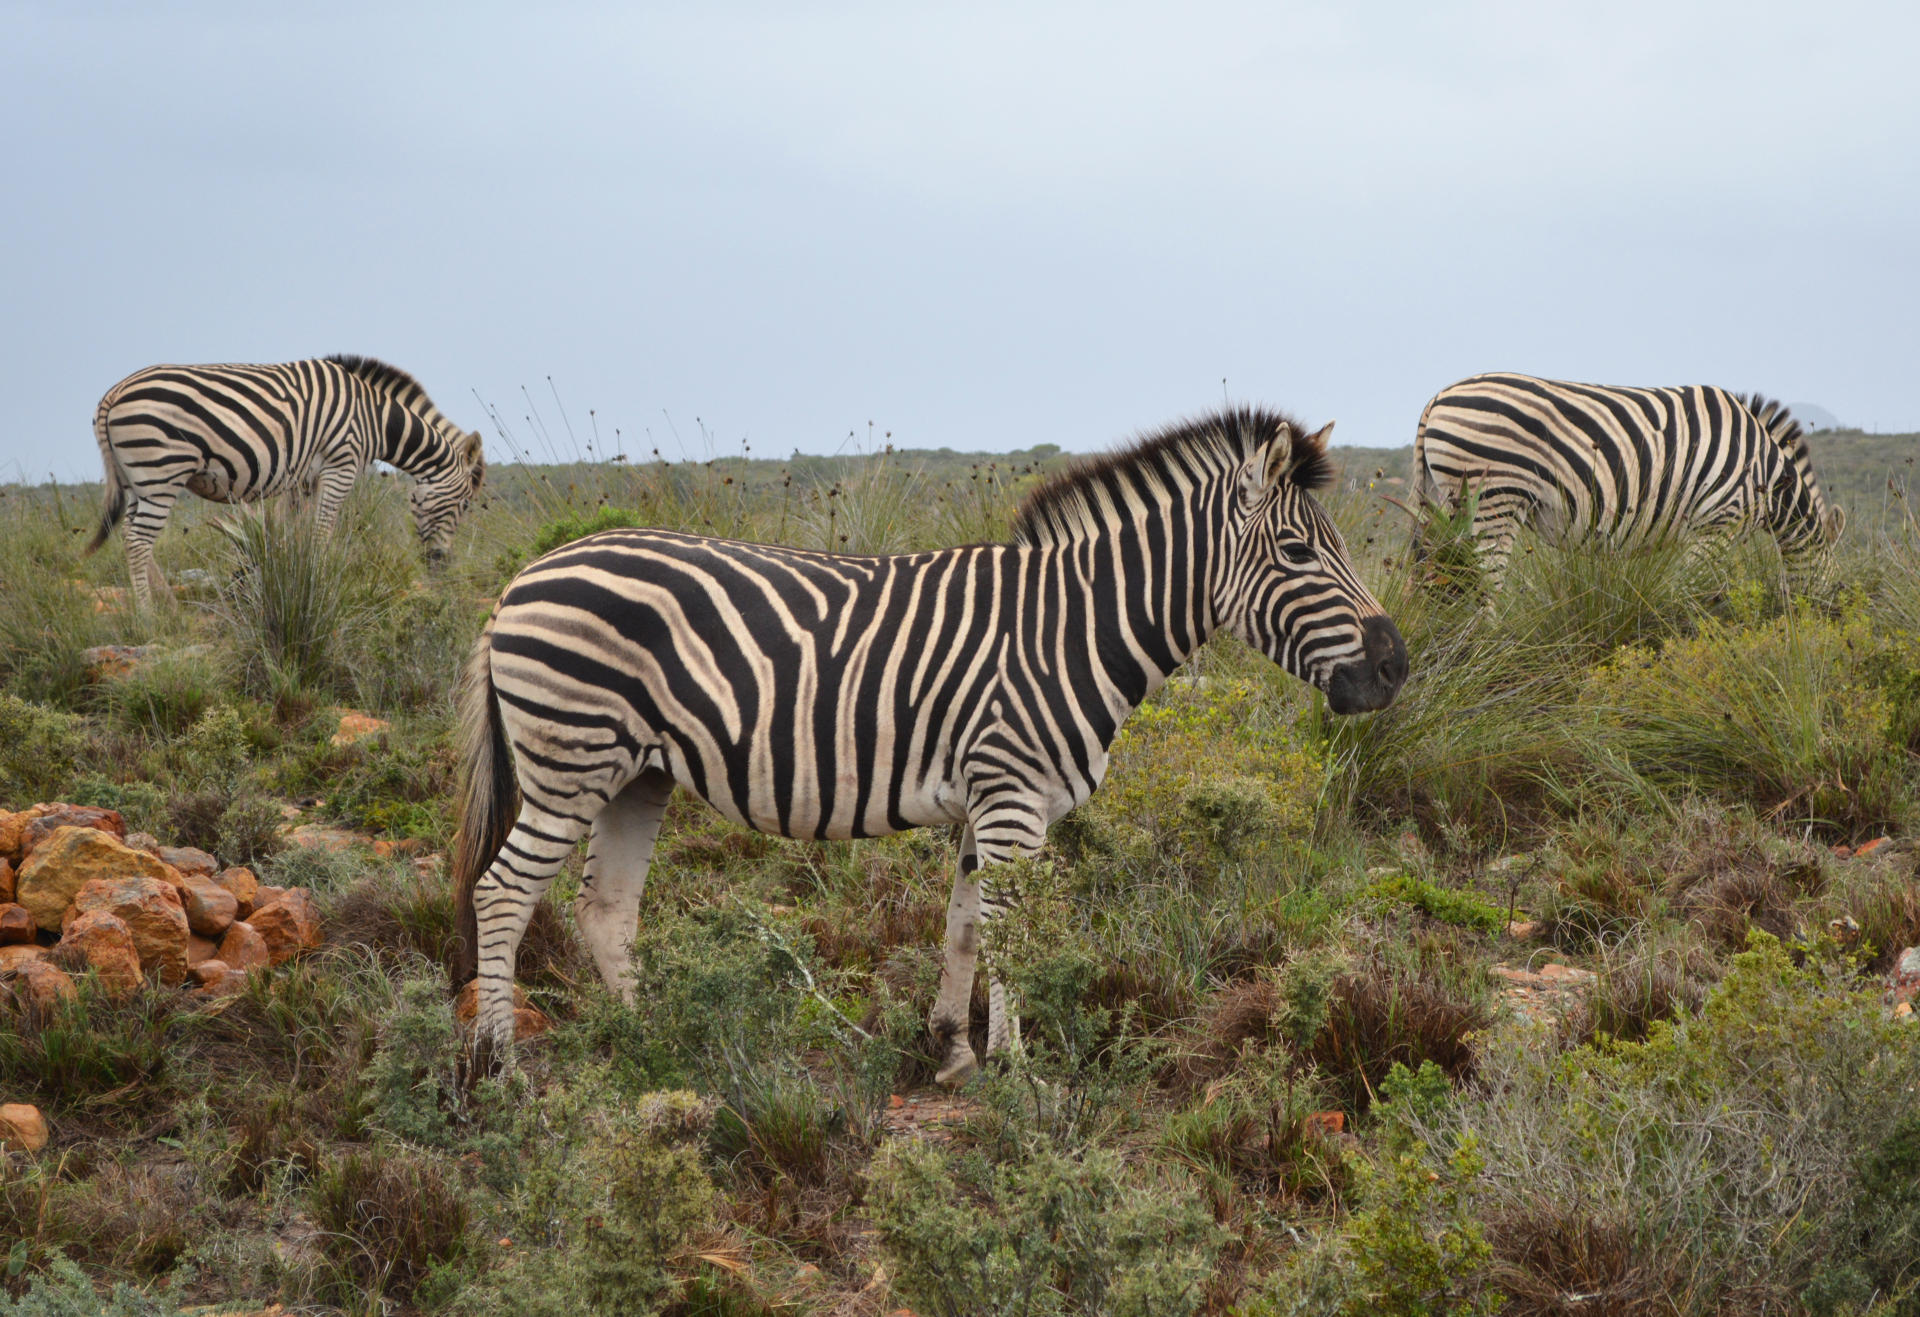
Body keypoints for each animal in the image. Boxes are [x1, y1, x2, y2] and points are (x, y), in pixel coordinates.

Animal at [88, 359, 487, 610]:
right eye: (464, 505)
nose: (441, 565)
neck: (373, 417)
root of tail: (113, 393)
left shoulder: (303, 479)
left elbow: (296, 534)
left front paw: (298, 584)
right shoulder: (340, 466)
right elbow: (322, 533)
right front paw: (321, 585)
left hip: (138, 479)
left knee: (130, 534)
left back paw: (170, 607)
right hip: (160, 470)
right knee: (138, 540)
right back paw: (148, 615)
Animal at [449, 407, 1413, 1090]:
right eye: (1298, 551)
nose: (1394, 666)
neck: (1071, 628)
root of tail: (519, 580)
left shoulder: (987, 799)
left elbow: (962, 926)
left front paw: (952, 1050)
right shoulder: (1015, 795)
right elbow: (1009, 929)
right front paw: (1019, 1071)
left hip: (635, 776)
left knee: (605, 908)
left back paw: (653, 1042)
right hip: (571, 764)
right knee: (502, 892)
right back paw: (501, 1066)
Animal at [1413, 374, 1843, 595]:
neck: (1767, 473)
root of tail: (1437, 397)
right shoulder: (1718, 521)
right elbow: (1697, 587)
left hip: (1442, 502)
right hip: (1493, 498)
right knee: (1485, 581)